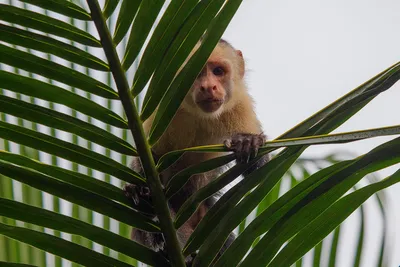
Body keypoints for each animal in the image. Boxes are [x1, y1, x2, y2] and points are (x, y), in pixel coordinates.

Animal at [124, 38, 268, 264]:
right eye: (197, 72)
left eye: (218, 71)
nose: (209, 86)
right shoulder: (163, 106)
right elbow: (147, 159)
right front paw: (142, 192)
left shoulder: (238, 104)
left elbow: (261, 168)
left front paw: (247, 142)